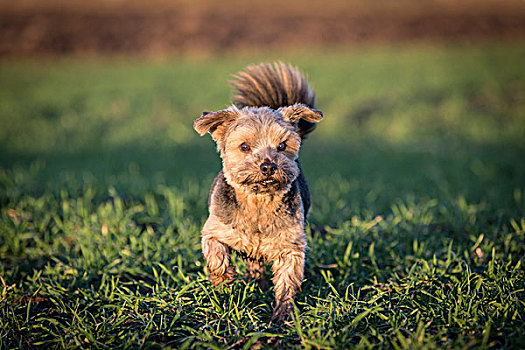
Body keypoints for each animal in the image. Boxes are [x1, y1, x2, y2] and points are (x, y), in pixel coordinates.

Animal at [193, 61, 322, 322]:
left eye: (282, 145)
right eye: (244, 146)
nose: (268, 166)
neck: (258, 202)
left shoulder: (290, 245)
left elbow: (287, 281)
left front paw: (282, 316)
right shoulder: (214, 229)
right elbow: (215, 255)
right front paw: (223, 282)